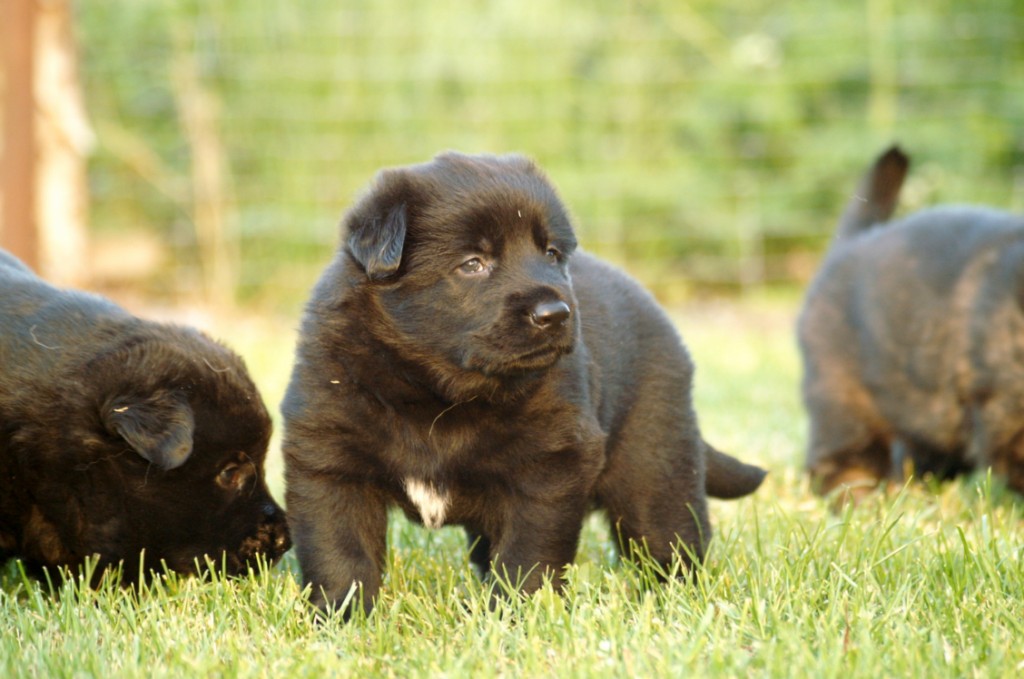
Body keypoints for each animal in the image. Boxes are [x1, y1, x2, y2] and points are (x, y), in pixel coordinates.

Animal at [284, 152, 765, 614]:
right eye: (473, 264)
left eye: (551, 253)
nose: (555, 313)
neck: (439, 394)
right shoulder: (328, 458)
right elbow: (340, 551)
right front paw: (343, 616)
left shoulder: (551, 462)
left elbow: (529, 552)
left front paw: (520, 613)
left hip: (654, 462)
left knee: (669, 535)